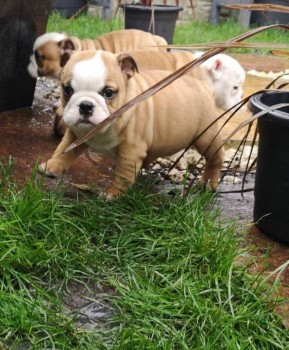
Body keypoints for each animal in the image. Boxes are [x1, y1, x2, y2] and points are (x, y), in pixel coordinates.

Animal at [37, 49, 223, 200]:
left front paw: (113, 194)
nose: (86, 106)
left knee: (215, 158)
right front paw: (52, 166)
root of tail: (205, 86)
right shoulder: (76, 135)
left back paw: (208, 183)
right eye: (67, 89)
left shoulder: (131, 151)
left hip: (206, 137)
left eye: (109, 93)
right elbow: (63, 150)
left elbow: (122, 174)